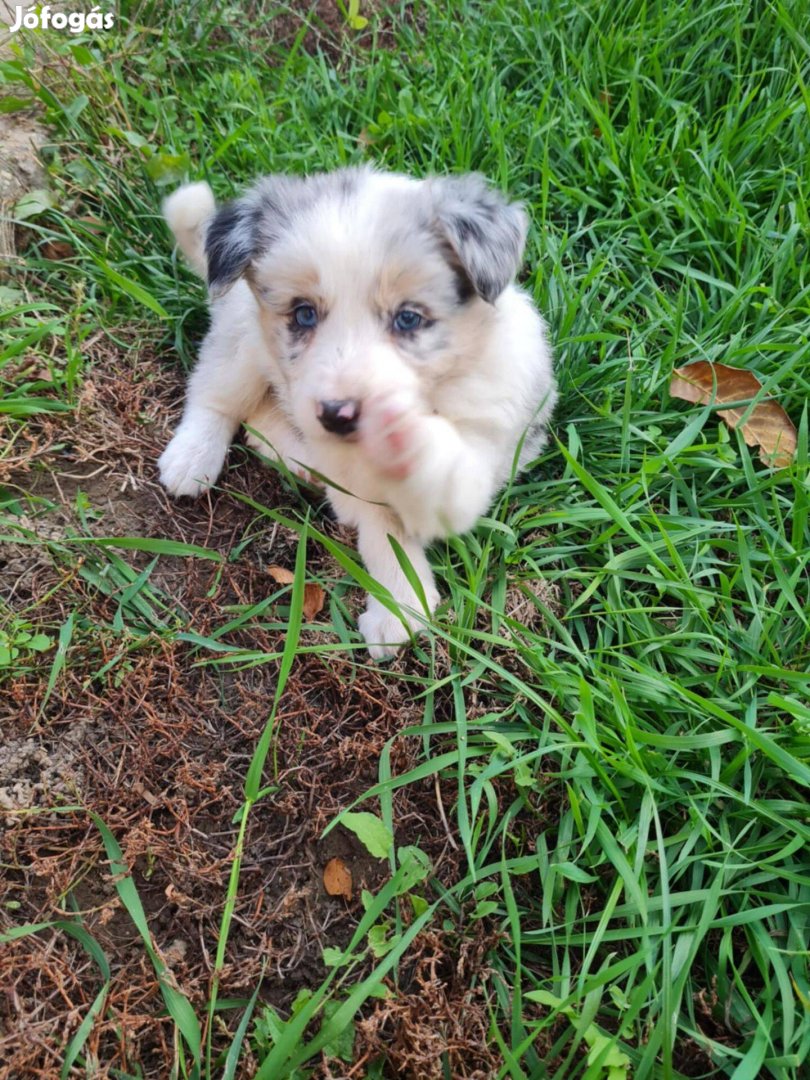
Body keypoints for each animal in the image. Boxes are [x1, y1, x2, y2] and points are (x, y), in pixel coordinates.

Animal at [157, 166, 557, 656]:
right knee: (216, 395)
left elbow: (439, 484)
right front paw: (399, 608)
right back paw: (192, 458)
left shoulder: (483, 450)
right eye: (303, 314)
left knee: (259, 421)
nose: (337, 415)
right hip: (242, 343)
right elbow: (386, 537)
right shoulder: (360, 486)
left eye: (408, 318)